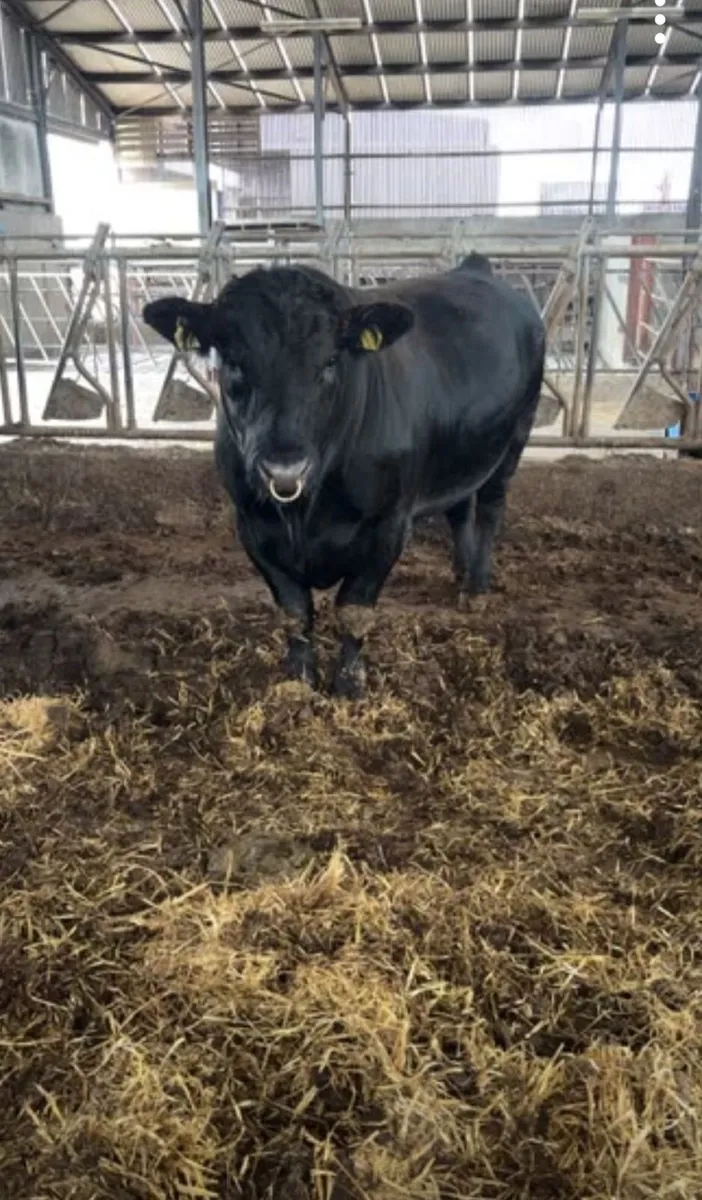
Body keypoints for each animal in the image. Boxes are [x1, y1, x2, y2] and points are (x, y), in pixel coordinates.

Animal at [142, 253, 545, 698]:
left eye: (331, 362)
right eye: (232, 361)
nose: (284, 468)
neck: (306, 512)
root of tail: (476, 267)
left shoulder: (388, 526)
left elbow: (353, 610)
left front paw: (350, 684)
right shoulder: (251, 525)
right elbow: (294, 610)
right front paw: (299, 682)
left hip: (516, 436)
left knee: (490, 509)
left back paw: (476, 587)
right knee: (458, 507)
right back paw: (460, 569)